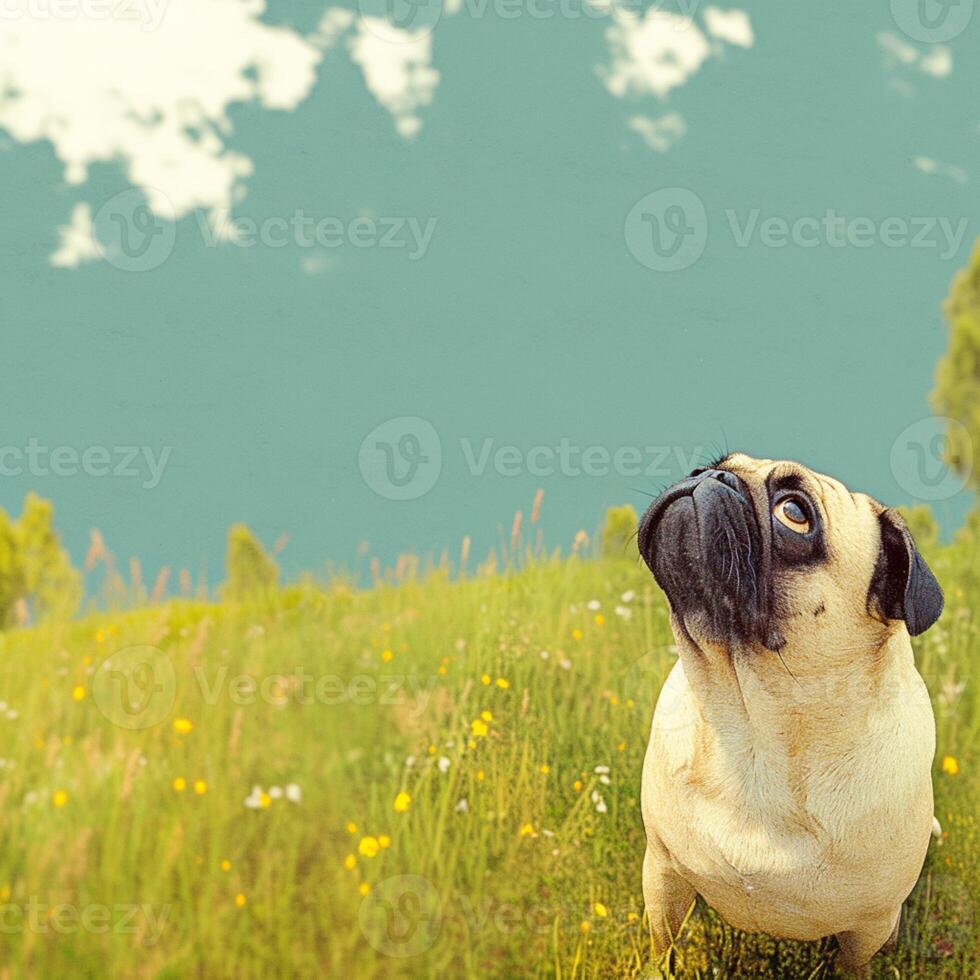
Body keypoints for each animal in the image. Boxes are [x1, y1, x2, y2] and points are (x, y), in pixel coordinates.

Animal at [636, 452, 940, 972]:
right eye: (707, 466)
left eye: (794, 513)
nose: (709, 476)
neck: (752, 730)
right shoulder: (662, 875)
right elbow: (663, 951)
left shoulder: (867, 927)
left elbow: (852, 968)